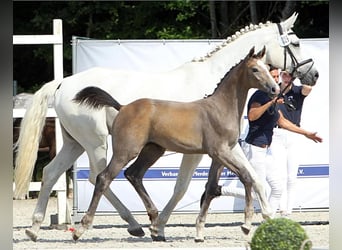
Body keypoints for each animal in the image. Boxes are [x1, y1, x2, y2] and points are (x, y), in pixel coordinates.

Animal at [13, 12, 318, 241]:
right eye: (295, 42)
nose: (313, 74)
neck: (215, 88)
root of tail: (63, 83)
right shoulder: (199, 152)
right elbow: (182, 187)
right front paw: (160, 226)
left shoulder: (227, 148)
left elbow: (253, 177)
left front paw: (266, 217)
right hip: (96, 142)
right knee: (98, 177)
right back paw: (132, 224)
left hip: (74, 143)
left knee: (51, 173)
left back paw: (34, 228)